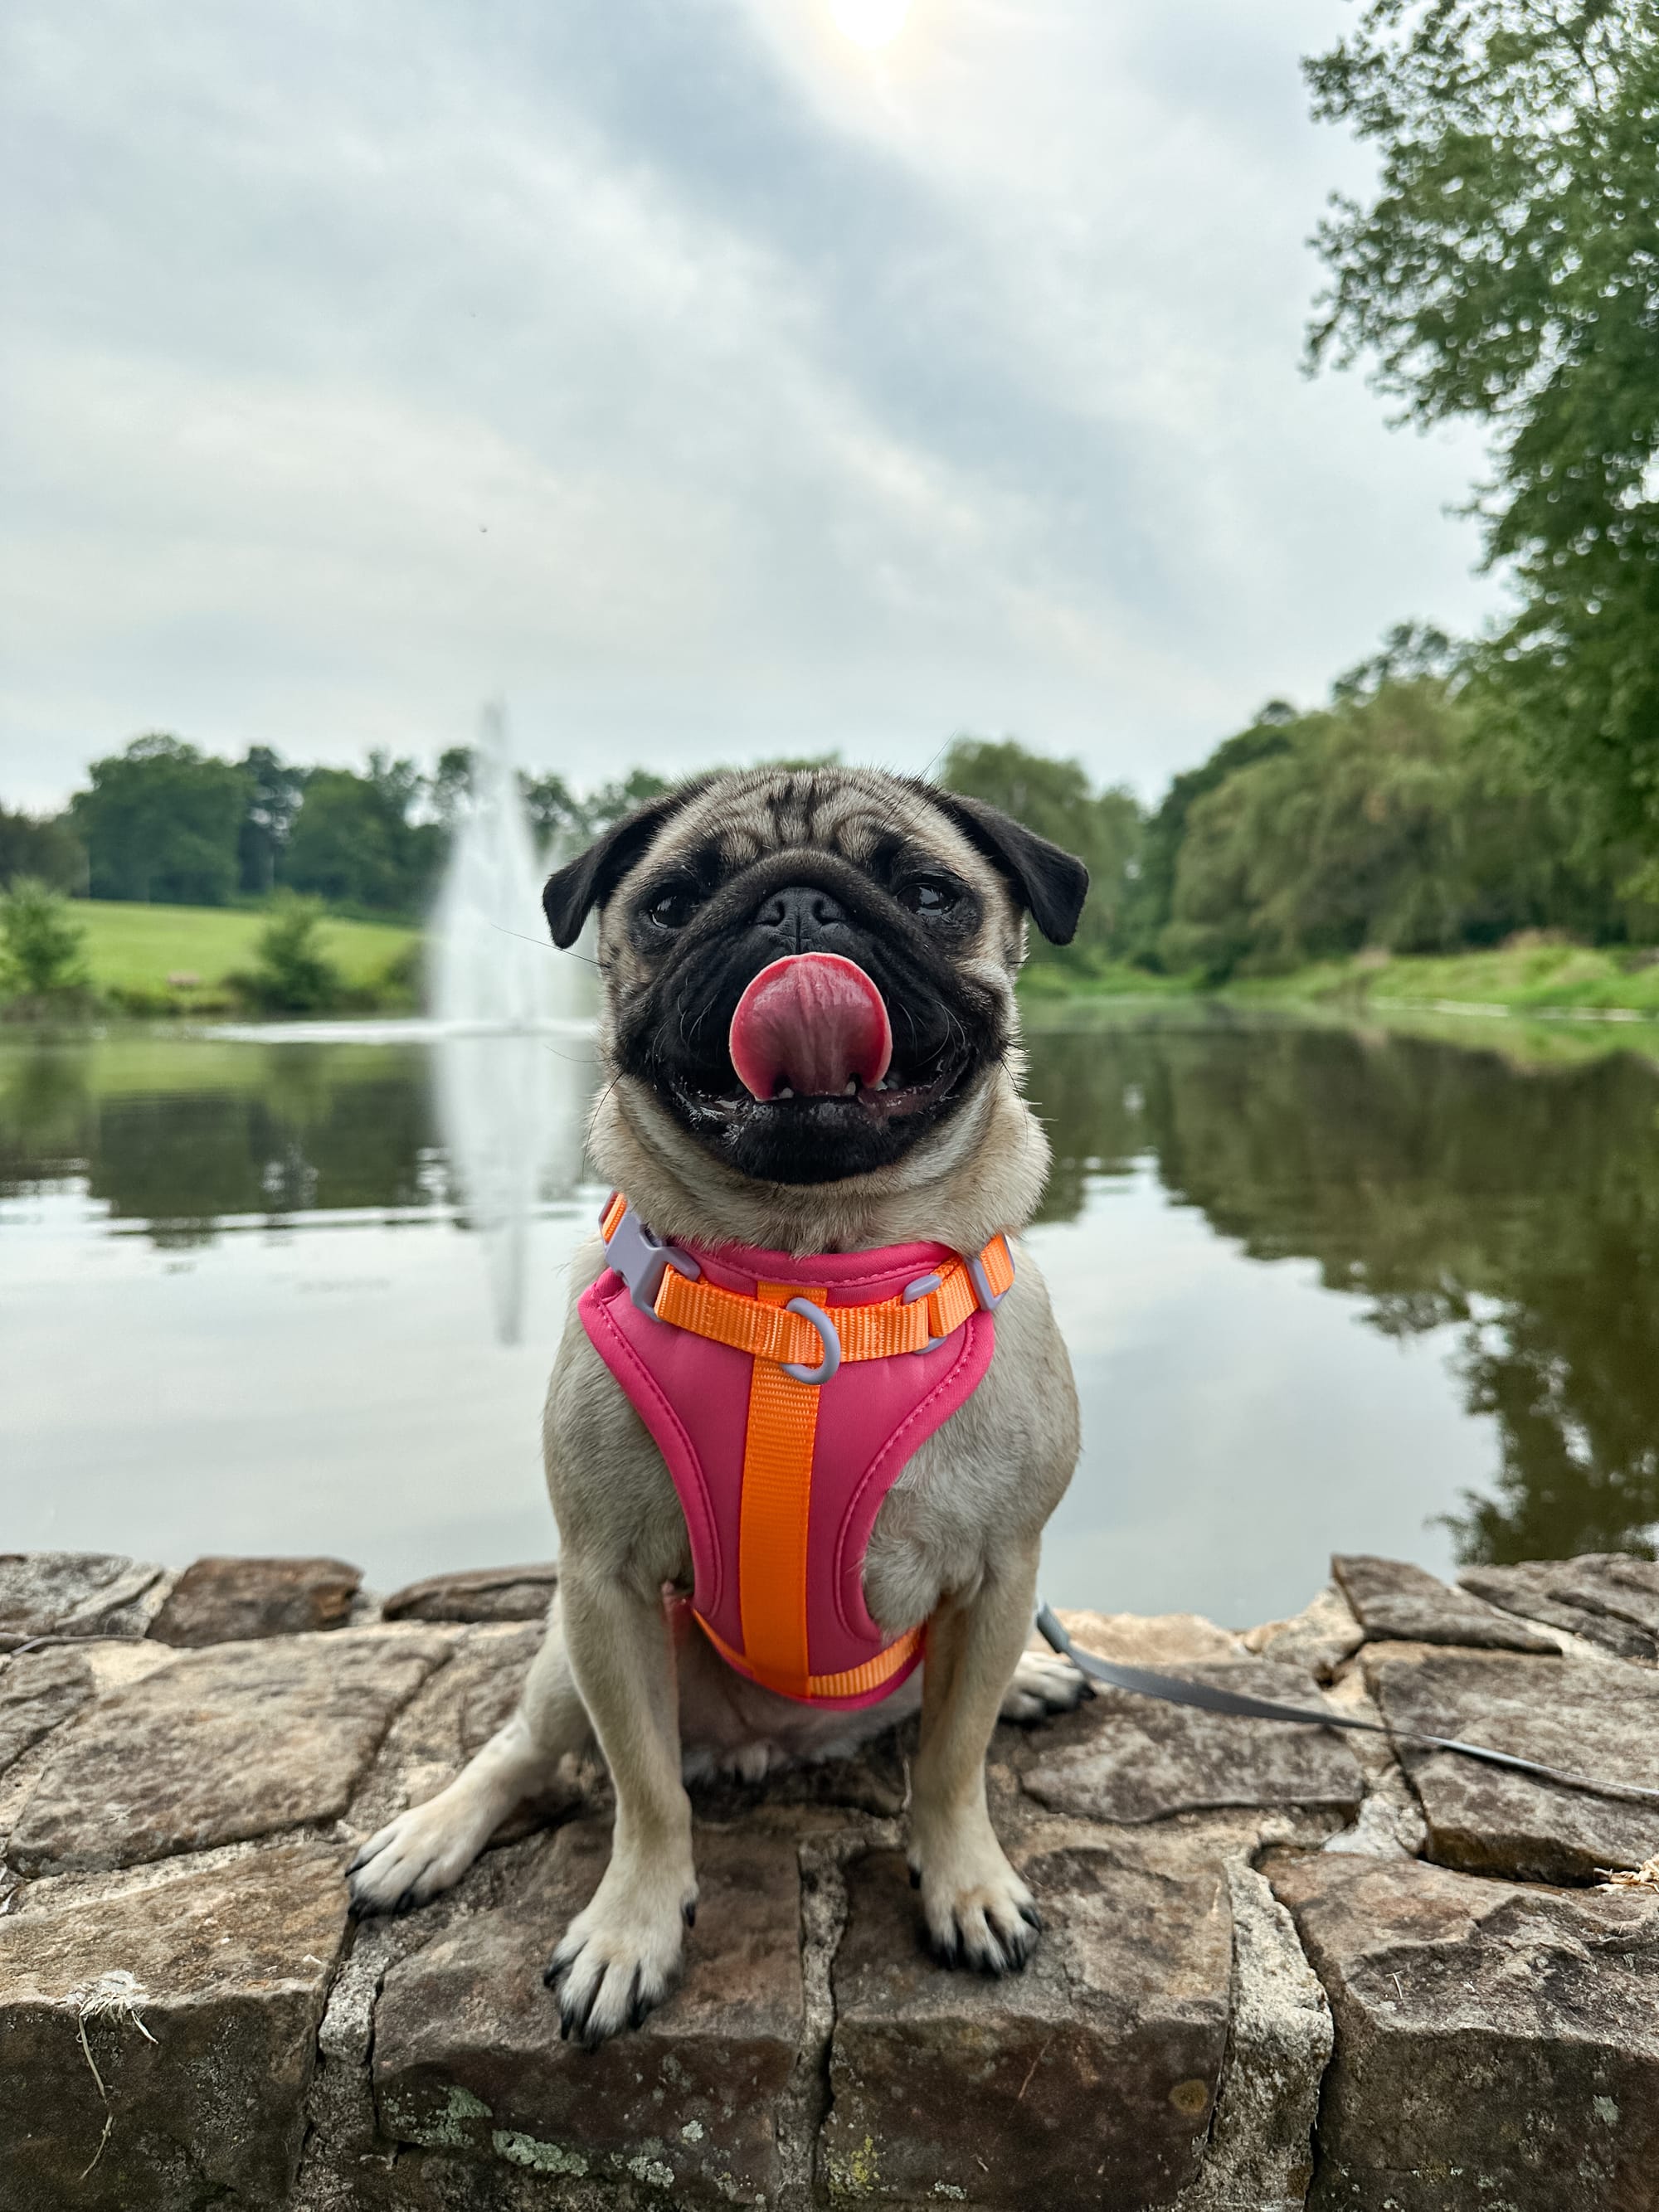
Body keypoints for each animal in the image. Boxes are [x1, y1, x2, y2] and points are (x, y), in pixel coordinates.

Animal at [352, 770, 1092, 2044]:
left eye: (927, 891)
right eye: (674, 900)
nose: (795, 901)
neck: (812, 1281)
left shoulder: (1000, 1575)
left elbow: (951, 1764)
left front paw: (966, 1885)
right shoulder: (605, 1586)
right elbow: (646, 1794)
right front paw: (629, 1929)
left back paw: (1034, 1682)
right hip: (565, 1659)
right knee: (525, 1750)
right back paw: (430, 1835)